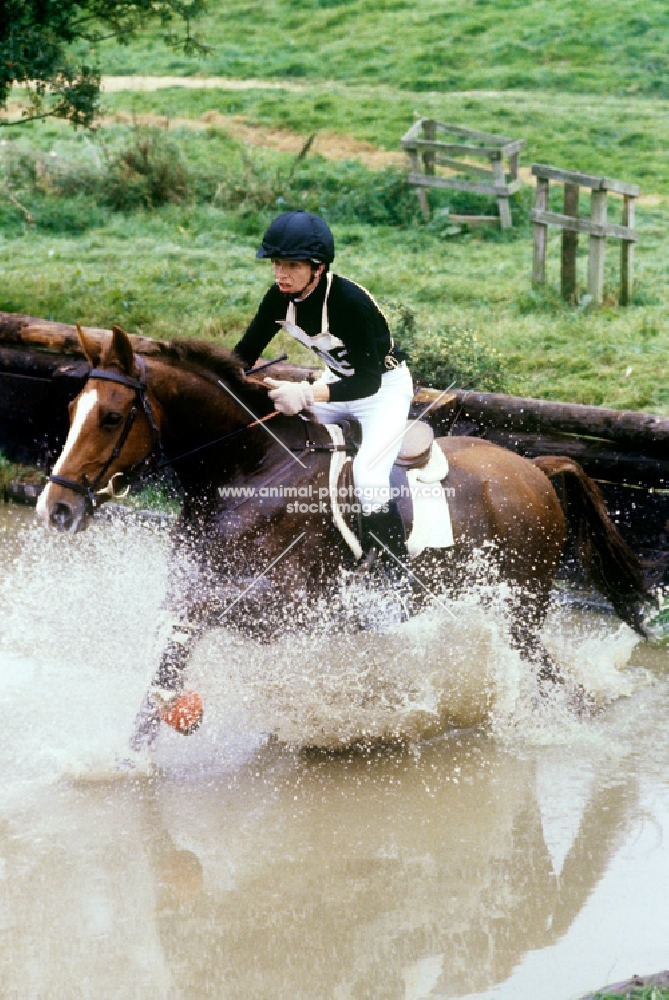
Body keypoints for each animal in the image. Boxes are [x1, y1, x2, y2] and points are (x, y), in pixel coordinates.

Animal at [36, 322, 648, 752]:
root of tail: (535, 469)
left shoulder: (279, 610)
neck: (249, 470)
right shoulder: (198, 587)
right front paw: (125, 760)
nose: (56, 509)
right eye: (69, 408)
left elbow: (186, 635)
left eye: (111, 418)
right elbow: (167, 658)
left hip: (520, 605)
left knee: (544, 673)